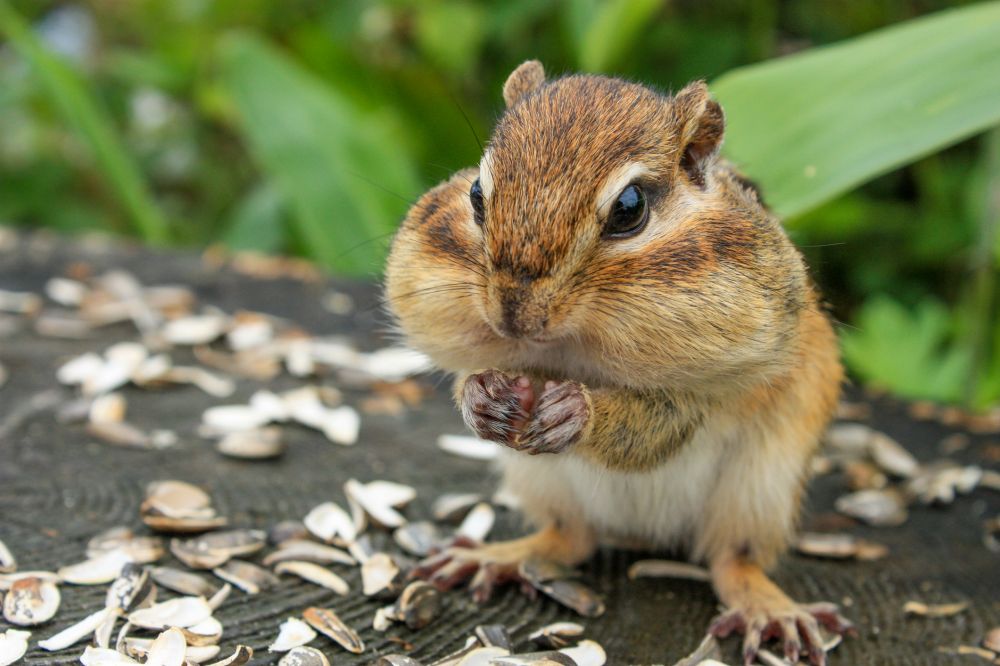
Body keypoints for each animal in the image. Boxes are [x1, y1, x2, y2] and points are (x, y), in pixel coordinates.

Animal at [385, 60, 852, 666]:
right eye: (476, 194)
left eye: (630, 208)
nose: (512, 313)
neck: (571, 348)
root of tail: (642, 535)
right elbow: (468, 377)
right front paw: (480, 397)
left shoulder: (706, 387)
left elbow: (658, 425)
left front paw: (576, 411)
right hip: (544, 482)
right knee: (570, 538)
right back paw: (499, 556)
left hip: (761, 489)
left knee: (733, 561)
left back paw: (769, 608)